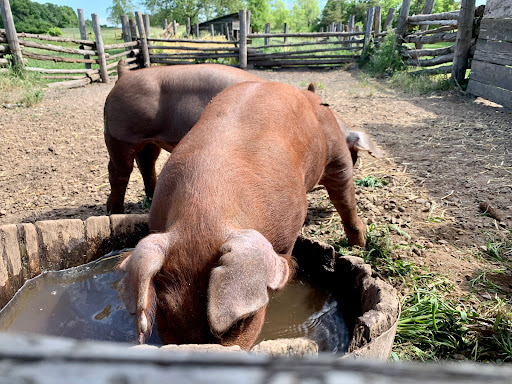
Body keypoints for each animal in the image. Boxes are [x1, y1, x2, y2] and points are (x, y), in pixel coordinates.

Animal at [119, 82, 368, 352]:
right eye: (164, 310)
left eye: (240, 322)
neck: (203, 212)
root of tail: (305, 92)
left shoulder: (288, 231)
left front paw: (292, 268)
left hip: (337, 154)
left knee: (345, 197)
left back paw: (359, 245)